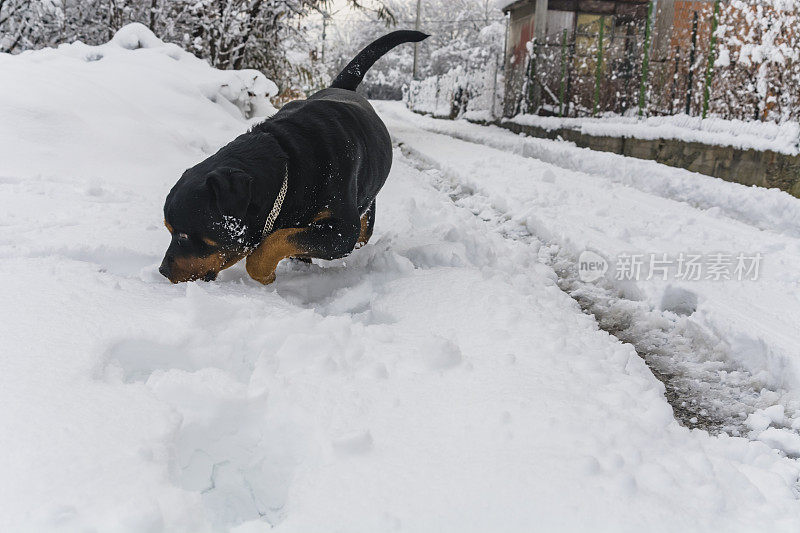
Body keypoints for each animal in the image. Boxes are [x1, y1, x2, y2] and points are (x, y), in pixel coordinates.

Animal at [159, 30, 428, 282]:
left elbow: (275, 243)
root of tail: (342, 87)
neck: (289, 169)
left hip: (365, 212)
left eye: (183, 234)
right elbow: (285, 238)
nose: (162, 270)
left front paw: (264, 272)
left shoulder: (342, 230)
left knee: (363, 234)